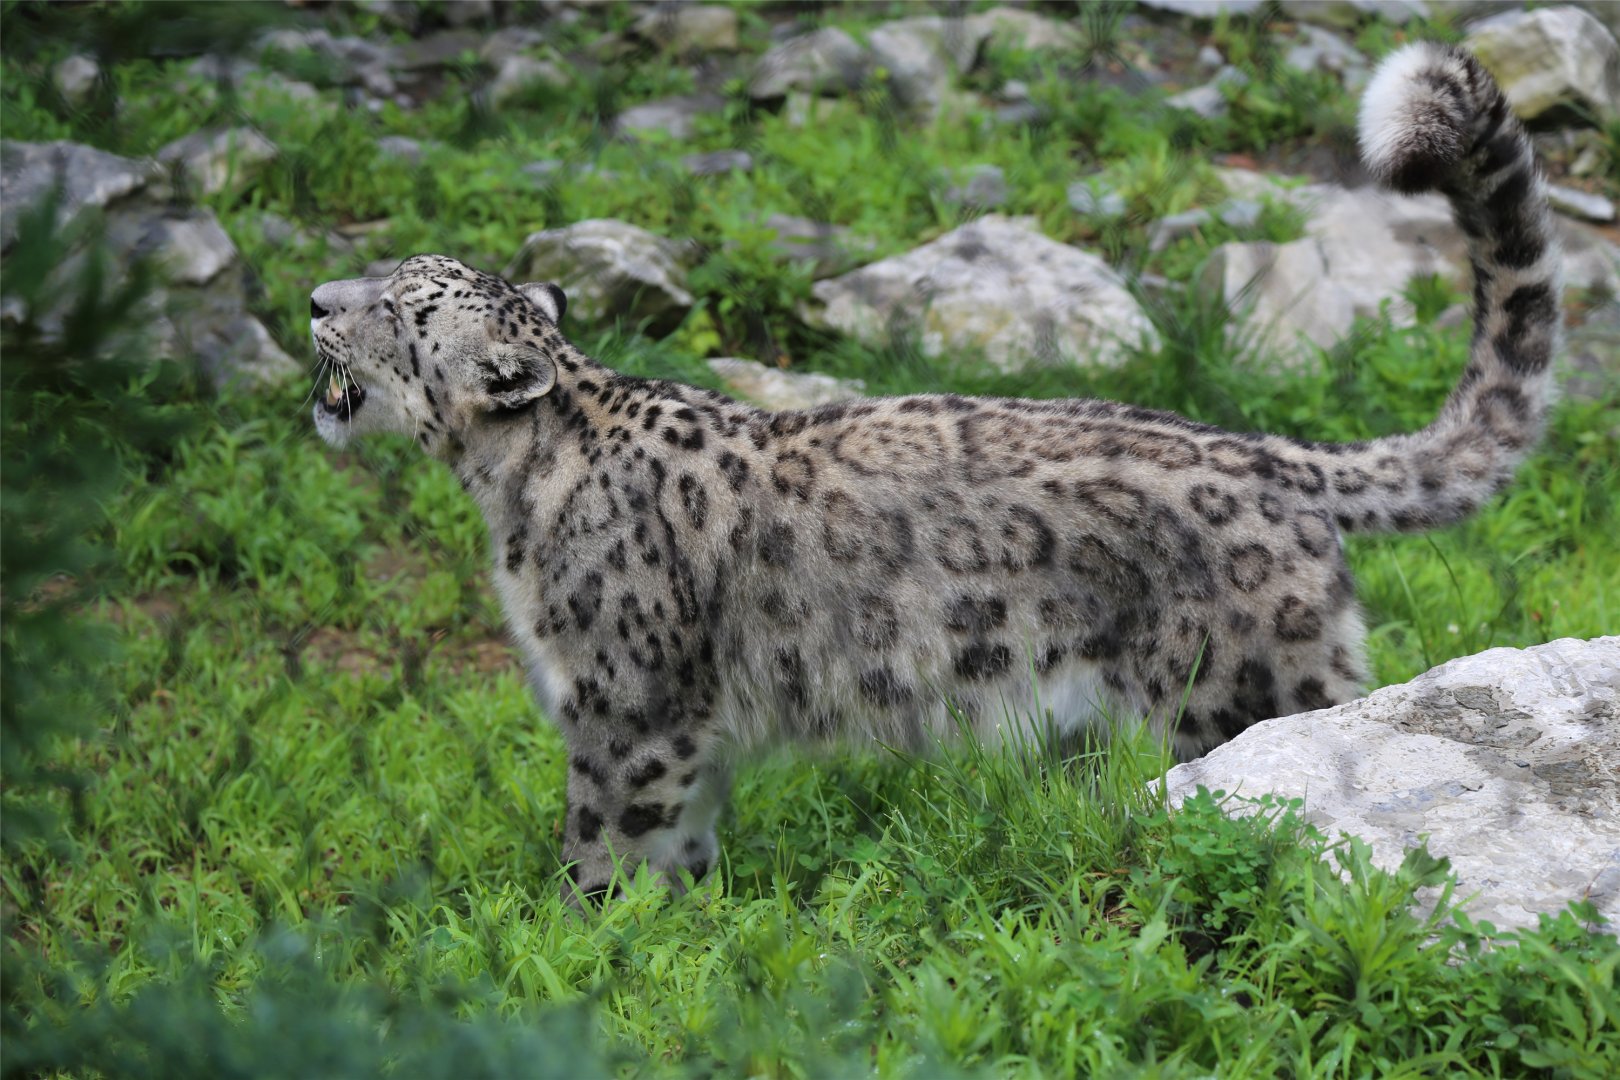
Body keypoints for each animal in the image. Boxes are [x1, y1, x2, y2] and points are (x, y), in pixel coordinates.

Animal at [310, 43, 1561, 905]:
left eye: (401, 307)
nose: (317, 302)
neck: (508, 490)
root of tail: (1264, 451)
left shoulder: (626, 712)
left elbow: (605, 845)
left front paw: (580, 936)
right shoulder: (684, 733)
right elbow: (686, 843)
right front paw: (684, 926)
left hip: (1243, 695)